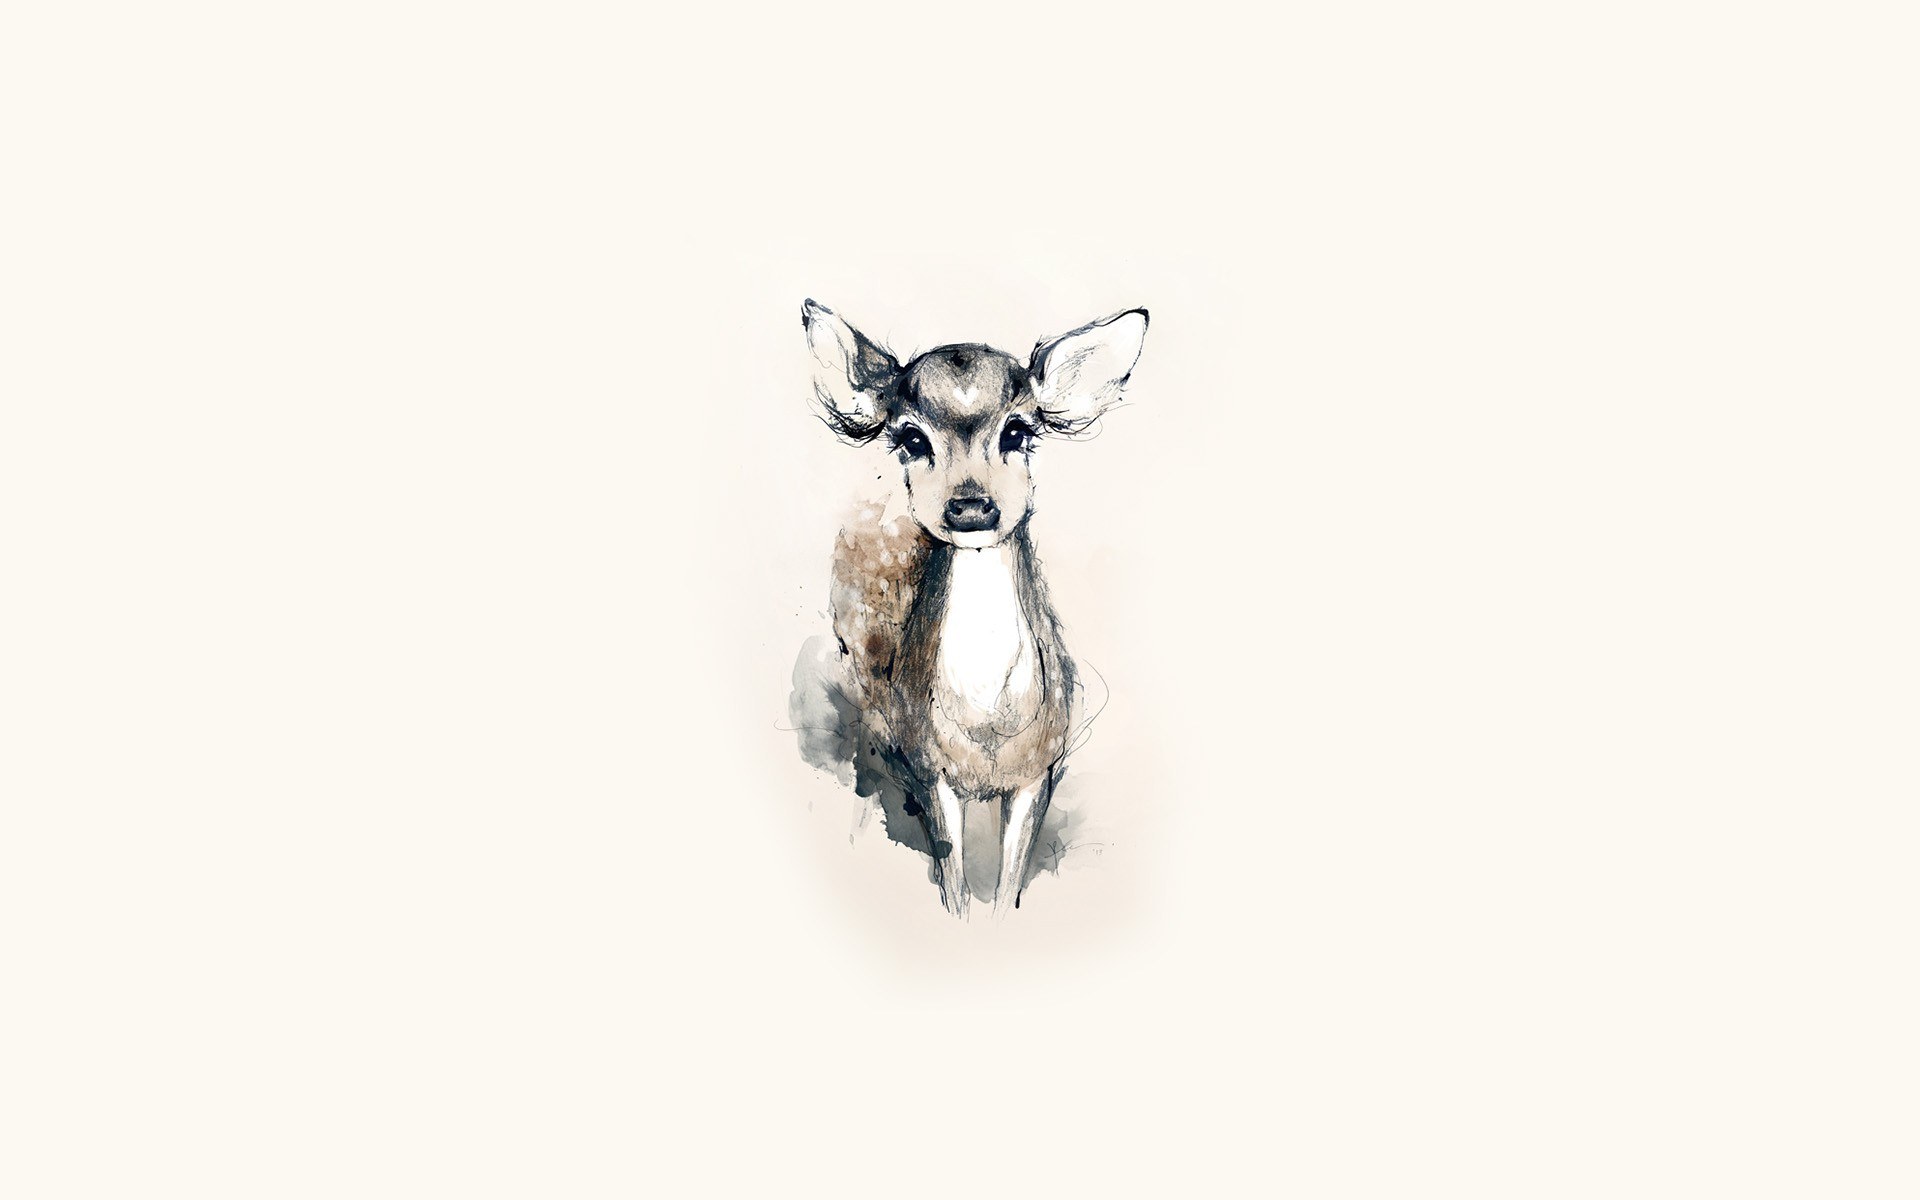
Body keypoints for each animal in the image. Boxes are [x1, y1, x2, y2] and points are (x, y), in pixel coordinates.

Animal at [797, 299, 1148, 918]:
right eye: (912, 438)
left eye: (1018, 429)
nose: (970, 507)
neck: (986, 728)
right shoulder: (929, 768)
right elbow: (955, 884)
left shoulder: (1039, 770)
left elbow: (1008, 885)